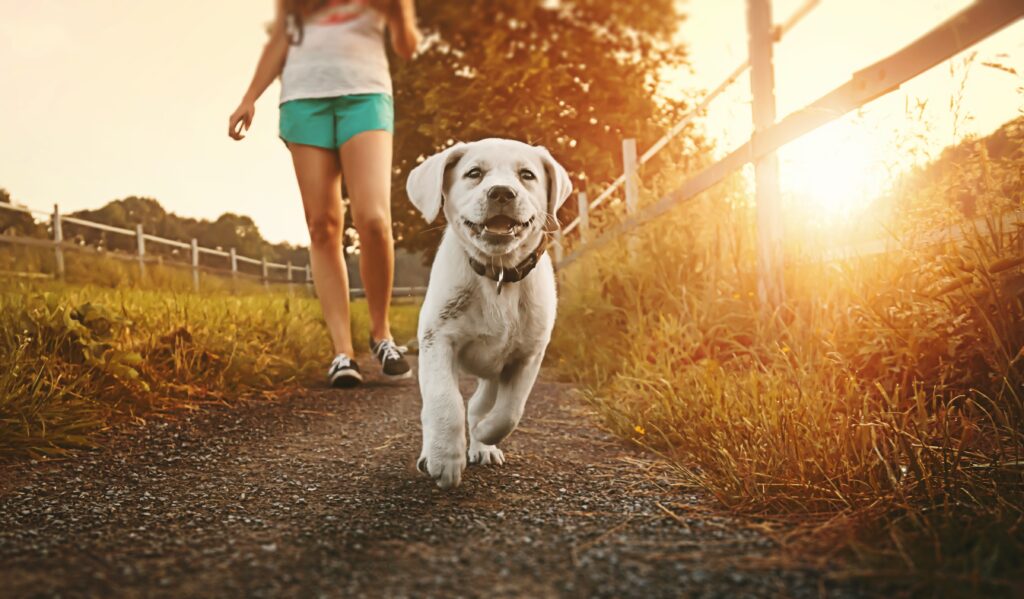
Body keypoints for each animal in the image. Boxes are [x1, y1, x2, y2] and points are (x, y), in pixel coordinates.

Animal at [405, 138, 569, 487]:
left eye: (527, 175)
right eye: (474, 173)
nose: (502, 192)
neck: (498, 275)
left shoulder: (528, 356)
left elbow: (510, 411)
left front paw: (484, 434)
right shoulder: (436, 339)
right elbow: (444, 400)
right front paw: (444, 458)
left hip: (494, 371)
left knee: (481, 403)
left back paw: (483, 445)